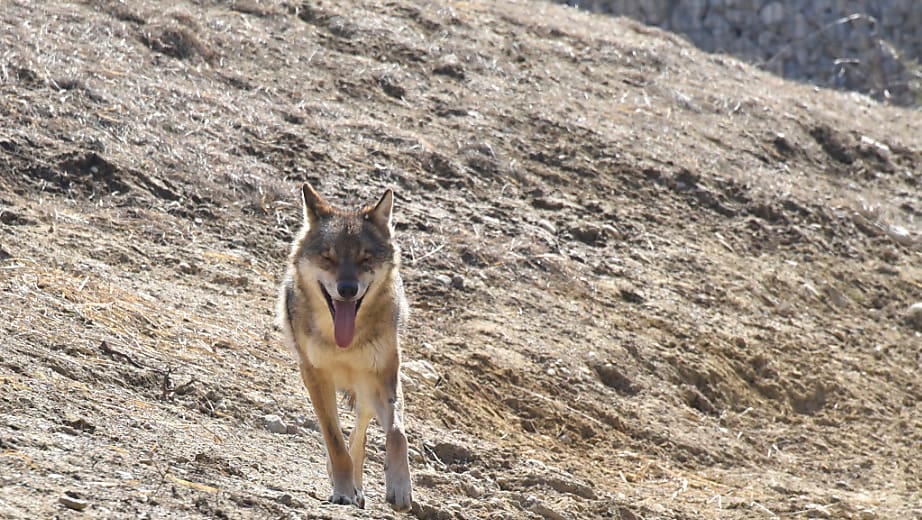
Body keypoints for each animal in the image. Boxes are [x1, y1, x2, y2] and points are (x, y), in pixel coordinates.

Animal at [277, 182, 412, 511]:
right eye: (328, 258)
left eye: (365, 259)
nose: (348, 289)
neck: (344, 345)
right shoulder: (314, 375)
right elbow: (334, 440)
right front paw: (342, 490)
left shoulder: (385, 376)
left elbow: (397, 433)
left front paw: (400, 487)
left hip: (365, 391)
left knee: (359, 436)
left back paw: (361, 486)